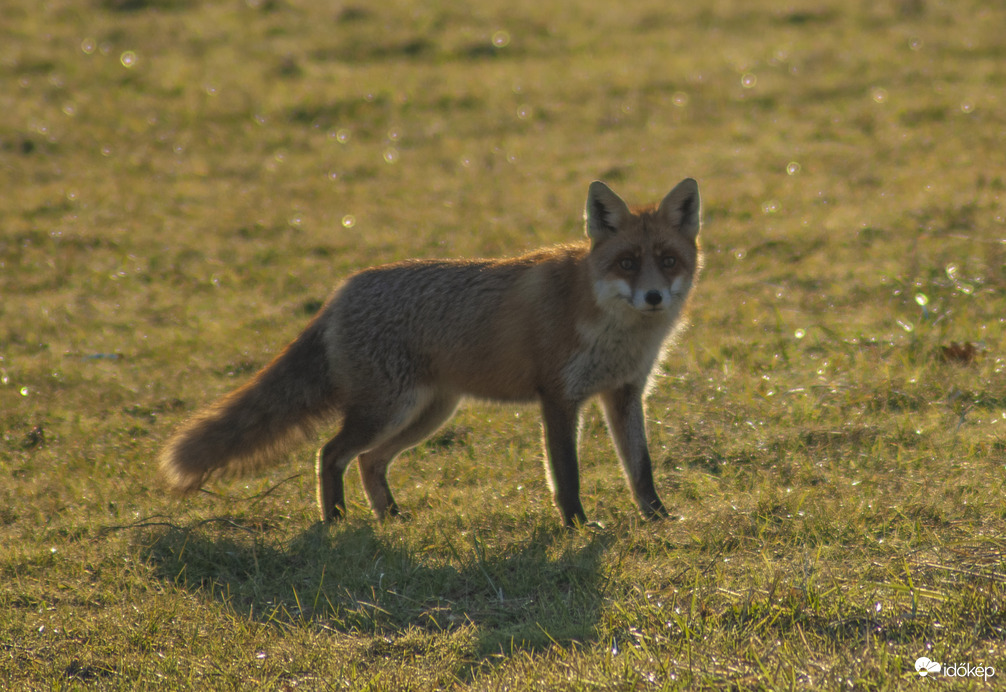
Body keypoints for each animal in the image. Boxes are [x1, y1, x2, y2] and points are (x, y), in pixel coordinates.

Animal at [160, 178, 704, 523]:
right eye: (627, 262)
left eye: (668, 261)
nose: (653, 297)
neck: (613, 328)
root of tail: (341, 291)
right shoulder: (559, 398)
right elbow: (566, 475)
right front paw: (577, 526)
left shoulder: (625, 393)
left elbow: (641, 468)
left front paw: (658, 519)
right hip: (388, 410)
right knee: (330, 453)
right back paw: (335, 521)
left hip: (428, 413)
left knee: (368, 462)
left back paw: (391, 517)